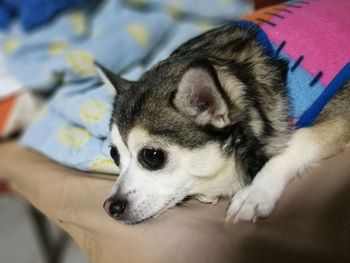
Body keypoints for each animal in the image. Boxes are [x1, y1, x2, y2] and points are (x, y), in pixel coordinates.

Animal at [95, 16, 350, 224]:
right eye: (114, 155)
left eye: (153, 156)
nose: (110, 207)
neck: (242, 79)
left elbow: (300, 140)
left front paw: (255, 192)